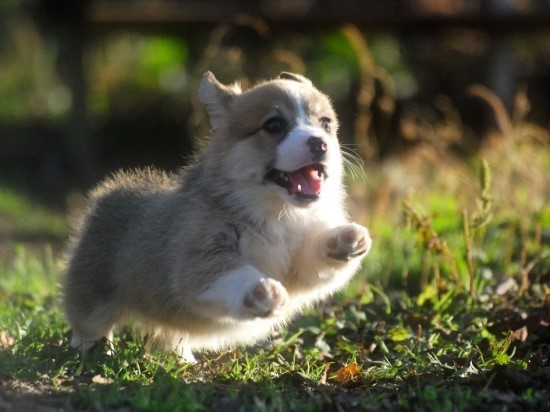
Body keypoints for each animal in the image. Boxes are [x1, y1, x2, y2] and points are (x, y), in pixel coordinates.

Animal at [64, 72, 376, 362]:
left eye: (326, 124)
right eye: (274, 125)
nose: (320, 143)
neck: (278, 213)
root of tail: (108, 193)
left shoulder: (299, 265)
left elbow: (316, 254)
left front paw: (346, 240)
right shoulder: (201, 257)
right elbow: (232, 272)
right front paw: (261, 290)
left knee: (166, 335)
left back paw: (183, 360)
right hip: (93, 290)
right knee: (87, 322)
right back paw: (93, 351)